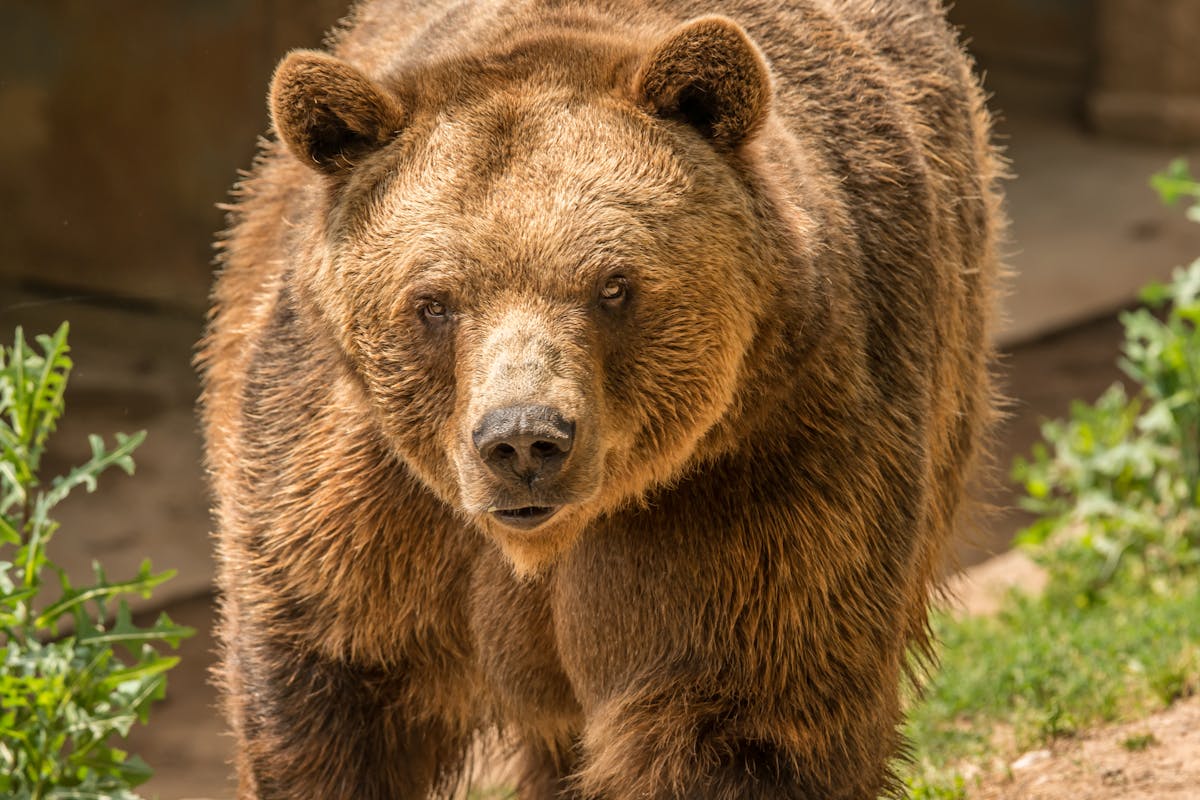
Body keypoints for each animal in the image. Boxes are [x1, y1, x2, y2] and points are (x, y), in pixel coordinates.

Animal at [198, 0, 1002, 797]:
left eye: (613, 286)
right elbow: (328, 699)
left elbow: (746, 712)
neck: (539, 547)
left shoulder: (759, 474)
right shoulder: (356, 505)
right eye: (434, 302)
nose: (523, 439)